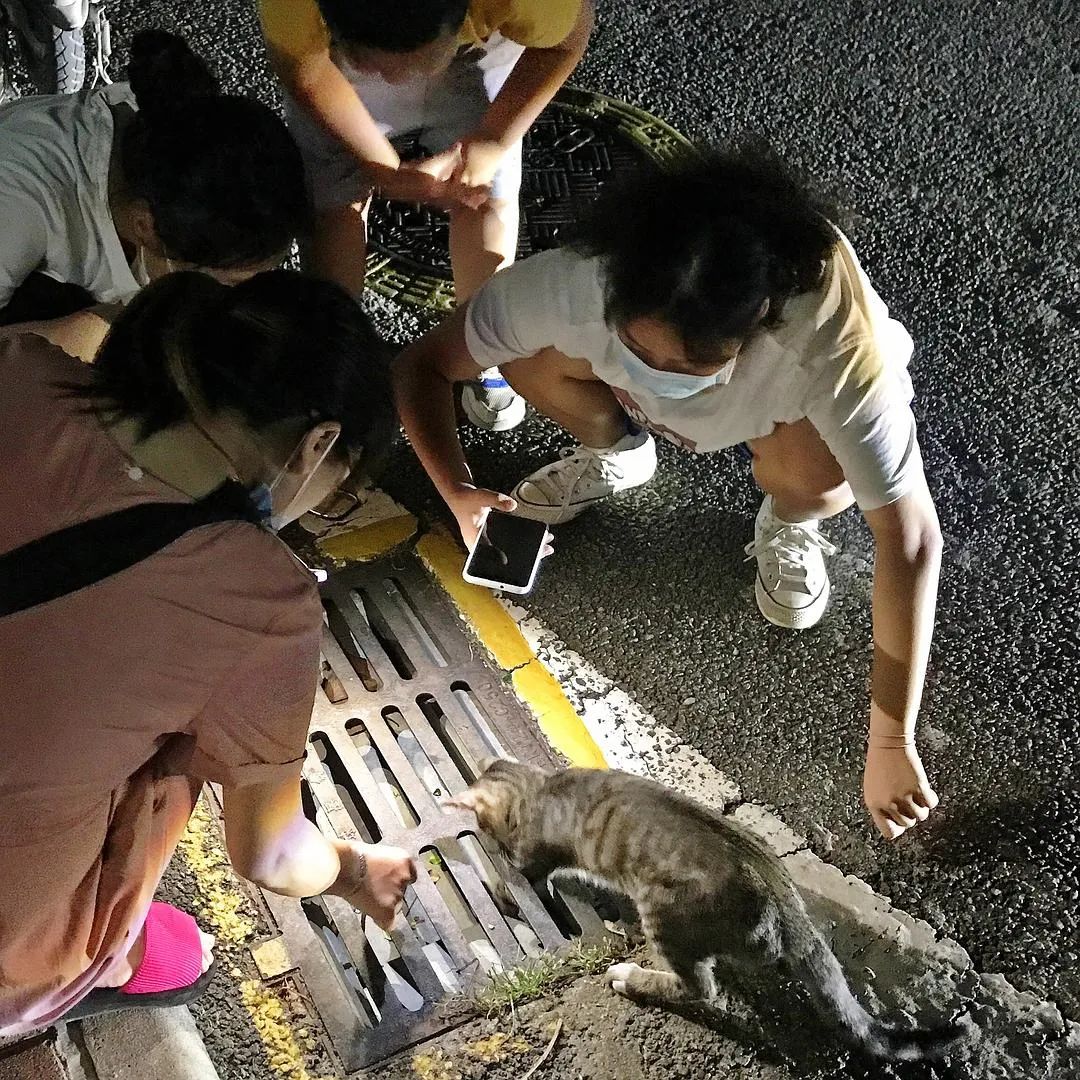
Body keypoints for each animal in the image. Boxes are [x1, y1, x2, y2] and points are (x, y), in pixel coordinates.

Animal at [447, 759, 966, 1063]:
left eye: (486, 826)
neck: (541, 785)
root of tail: (787, 907)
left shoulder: (530, 854)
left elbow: (519, 873)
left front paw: (500, 880)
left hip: (663, 914)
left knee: (700, 989)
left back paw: (631, 977)